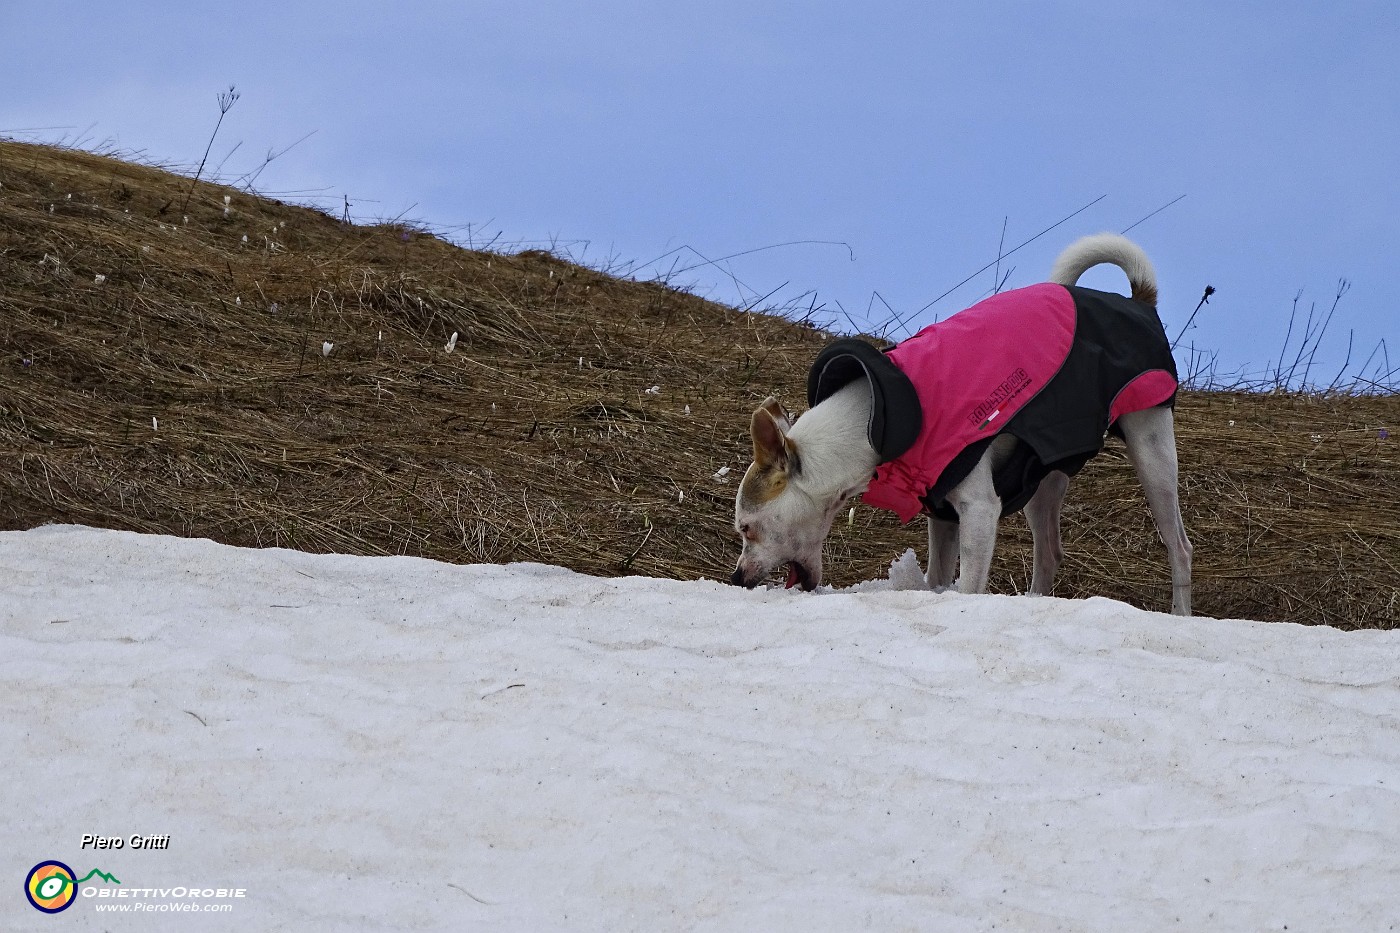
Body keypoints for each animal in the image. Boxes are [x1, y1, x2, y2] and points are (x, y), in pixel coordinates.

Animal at [733, 232, 1192, 613]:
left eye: (747, 528)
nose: (736, 578)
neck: (876, 417)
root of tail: (1138, 301)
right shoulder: (942, 514)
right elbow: (937, 575)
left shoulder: (979, 511)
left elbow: (968, 583)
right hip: (1044, 473)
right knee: (1049, 551)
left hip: (1152, 451)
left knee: (1180, 547)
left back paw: (1180, 611)